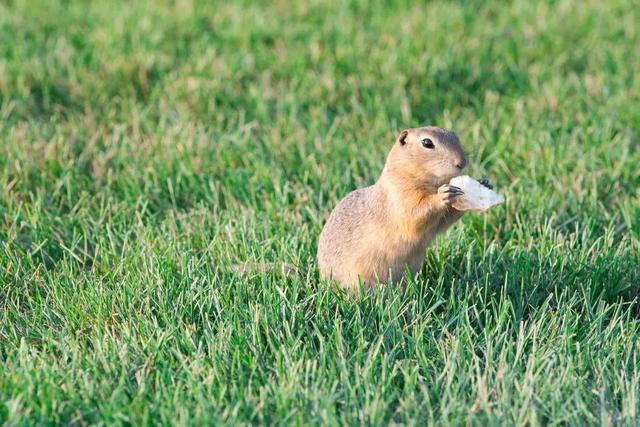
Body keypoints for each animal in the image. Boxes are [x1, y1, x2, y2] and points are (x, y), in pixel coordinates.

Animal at [318, 126, 468, 290]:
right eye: (427, 143)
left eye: (455, 136)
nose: (462, 162)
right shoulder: (399, 194)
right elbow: (414, 215)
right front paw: (442, 195)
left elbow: (443, 222)